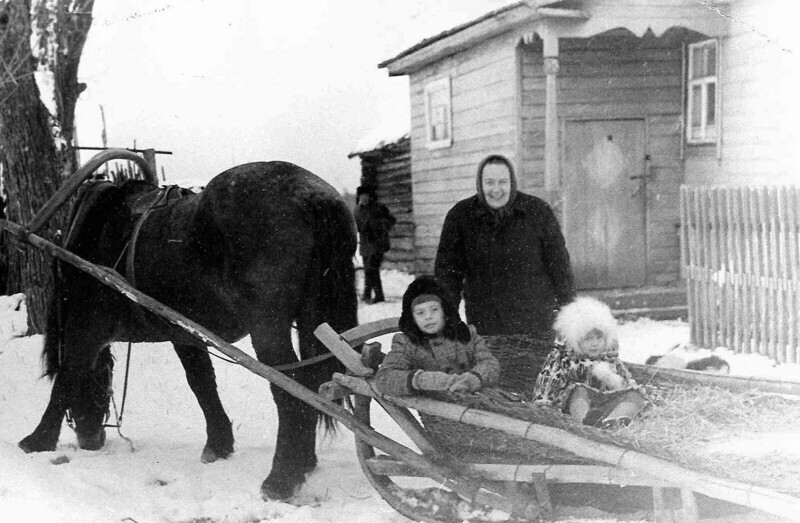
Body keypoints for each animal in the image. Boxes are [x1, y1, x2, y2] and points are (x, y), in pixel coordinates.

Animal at [14, 162, 360, 502]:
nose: (90, 439)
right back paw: (304, 462)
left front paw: (37, 440)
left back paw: (281, 478)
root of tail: (311, 196)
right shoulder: (186, 334)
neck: (99, 230)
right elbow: (202, 383)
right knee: (313, 385)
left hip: (268, 327)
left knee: (290, 388)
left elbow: (67, 376)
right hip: (314, 320)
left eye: (99, 381)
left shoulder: (86, 327)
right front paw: (219, 443)